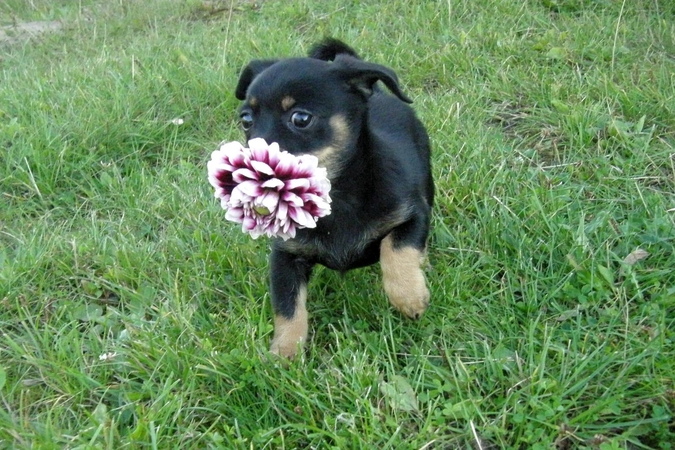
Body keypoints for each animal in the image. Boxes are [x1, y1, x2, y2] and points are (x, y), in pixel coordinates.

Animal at [234, 38, 434, 356]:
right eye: (246, 120)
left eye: (300, 118)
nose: (248, 165)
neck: (334, 199)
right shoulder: (284, 256)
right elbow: (287, 307)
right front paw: (284, 353)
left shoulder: (413, 215)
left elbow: (397, 249)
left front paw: (409, 296)